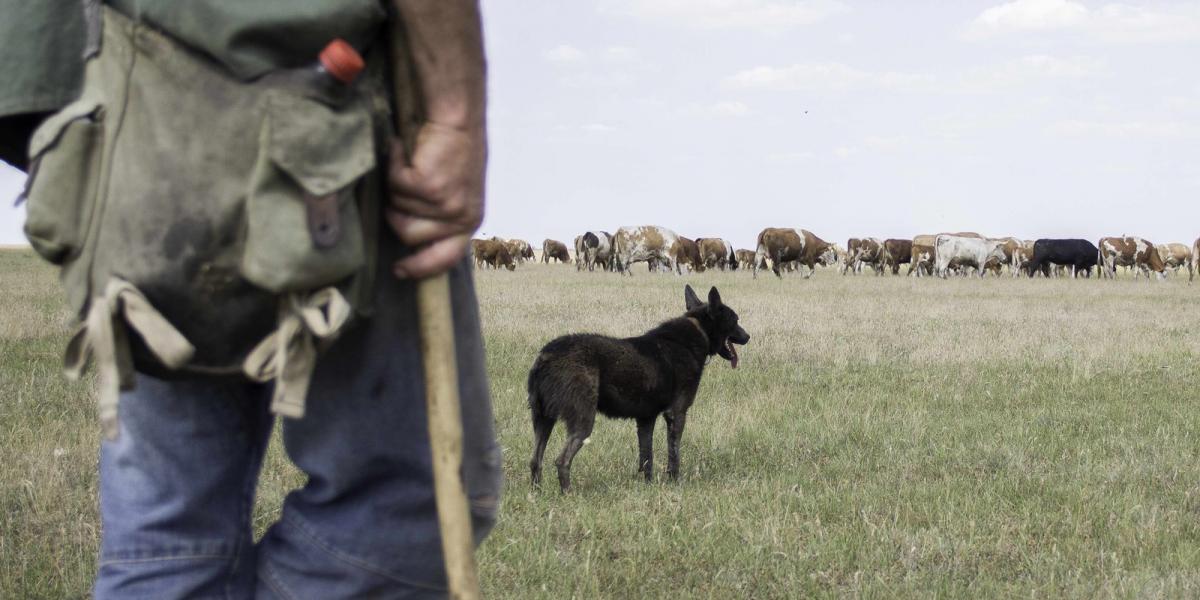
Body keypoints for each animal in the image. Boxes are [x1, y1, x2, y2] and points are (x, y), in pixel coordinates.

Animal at [528, 285, 748, 492]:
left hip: (542, 419)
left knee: (535, 461)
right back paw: (567, 493)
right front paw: (675, 482)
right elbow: (674, 455)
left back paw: (536, 494)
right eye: (735, 320)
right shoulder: (676, 413)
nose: (748, 336)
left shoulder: (645, 419)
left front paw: (647, 485)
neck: (698, 330)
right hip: (583, 421)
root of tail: (546, 357)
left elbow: (646, 457)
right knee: (562, 461)